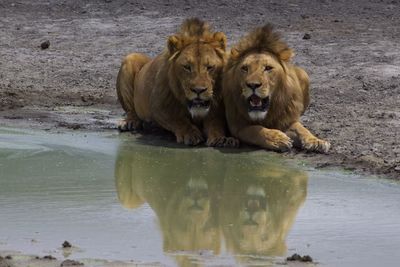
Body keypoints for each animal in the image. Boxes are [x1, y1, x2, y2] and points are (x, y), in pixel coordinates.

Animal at [115, 18, 238, 149]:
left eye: (209, 67)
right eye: (187, 67)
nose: (198, 90)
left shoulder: (216, 109)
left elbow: (215, 124)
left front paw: (221, 139)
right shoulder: (159, 106)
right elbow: (177, 120)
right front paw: (190, 134)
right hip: (130, 58)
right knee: (131, 110)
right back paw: (130, 122)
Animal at [222, 24, 332, 155]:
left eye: (268, 68)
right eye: (244, 68)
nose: (253, 85)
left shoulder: (285, 120)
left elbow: (301, 129)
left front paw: (316, 141)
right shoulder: (237, 126)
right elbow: (255, 130)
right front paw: (277, 139)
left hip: (304, 74)